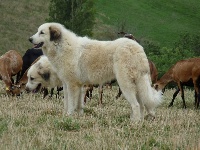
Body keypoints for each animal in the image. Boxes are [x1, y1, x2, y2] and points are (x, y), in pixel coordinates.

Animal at [28, 22, 162, 122]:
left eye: (42, 32)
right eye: (37, 31)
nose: (30, 39)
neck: (60, 46)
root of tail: (137, 47)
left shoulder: (72, 85)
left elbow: (71, 103)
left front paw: (69, 116)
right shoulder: (70, 85)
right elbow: (72, 103)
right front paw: (73, 115)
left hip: (125, 84)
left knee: (136, 105)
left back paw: (133, 123)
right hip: (138, 84)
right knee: (142, 105)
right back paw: (139, 122)